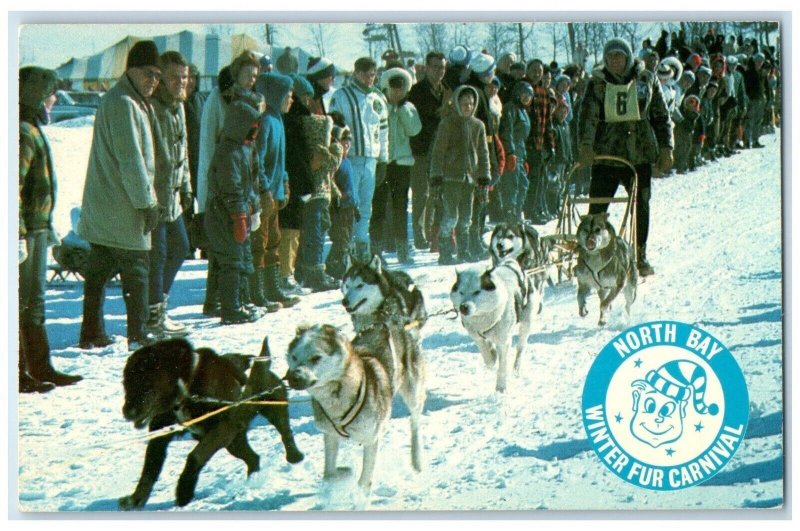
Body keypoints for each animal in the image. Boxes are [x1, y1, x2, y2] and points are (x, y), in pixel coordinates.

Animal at [288, 324, 396, 498]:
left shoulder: (370, 438)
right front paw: (345, 472)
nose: (293, 377)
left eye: (316, 358)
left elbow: (364, 480)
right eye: (294, 357)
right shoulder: (330, 435)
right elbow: (330, 474)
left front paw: (361, 498)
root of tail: (380, 325)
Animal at [450, 260, 536, 392]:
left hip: (527, 322)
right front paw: (492, 355)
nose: (463, 307)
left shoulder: (504, 341)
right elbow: (487, 354)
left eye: (477, 291)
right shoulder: (476, 336)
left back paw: (516, 368)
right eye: (461, 292)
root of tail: (512, 263)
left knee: (521, 347)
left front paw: (500, 387)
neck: (483, 317)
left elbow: (502, 364)